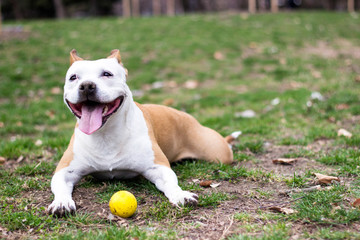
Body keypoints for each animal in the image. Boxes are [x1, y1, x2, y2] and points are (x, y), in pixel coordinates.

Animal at [46, 49, 240, 217]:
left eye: (107, 74)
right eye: (73, 77)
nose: (86, 86)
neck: (105, 133)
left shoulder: (158, 167)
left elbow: (171, 183)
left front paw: (181, 195)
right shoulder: (65, 170)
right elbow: (60, 186)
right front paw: (61, 203)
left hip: (218, 153)